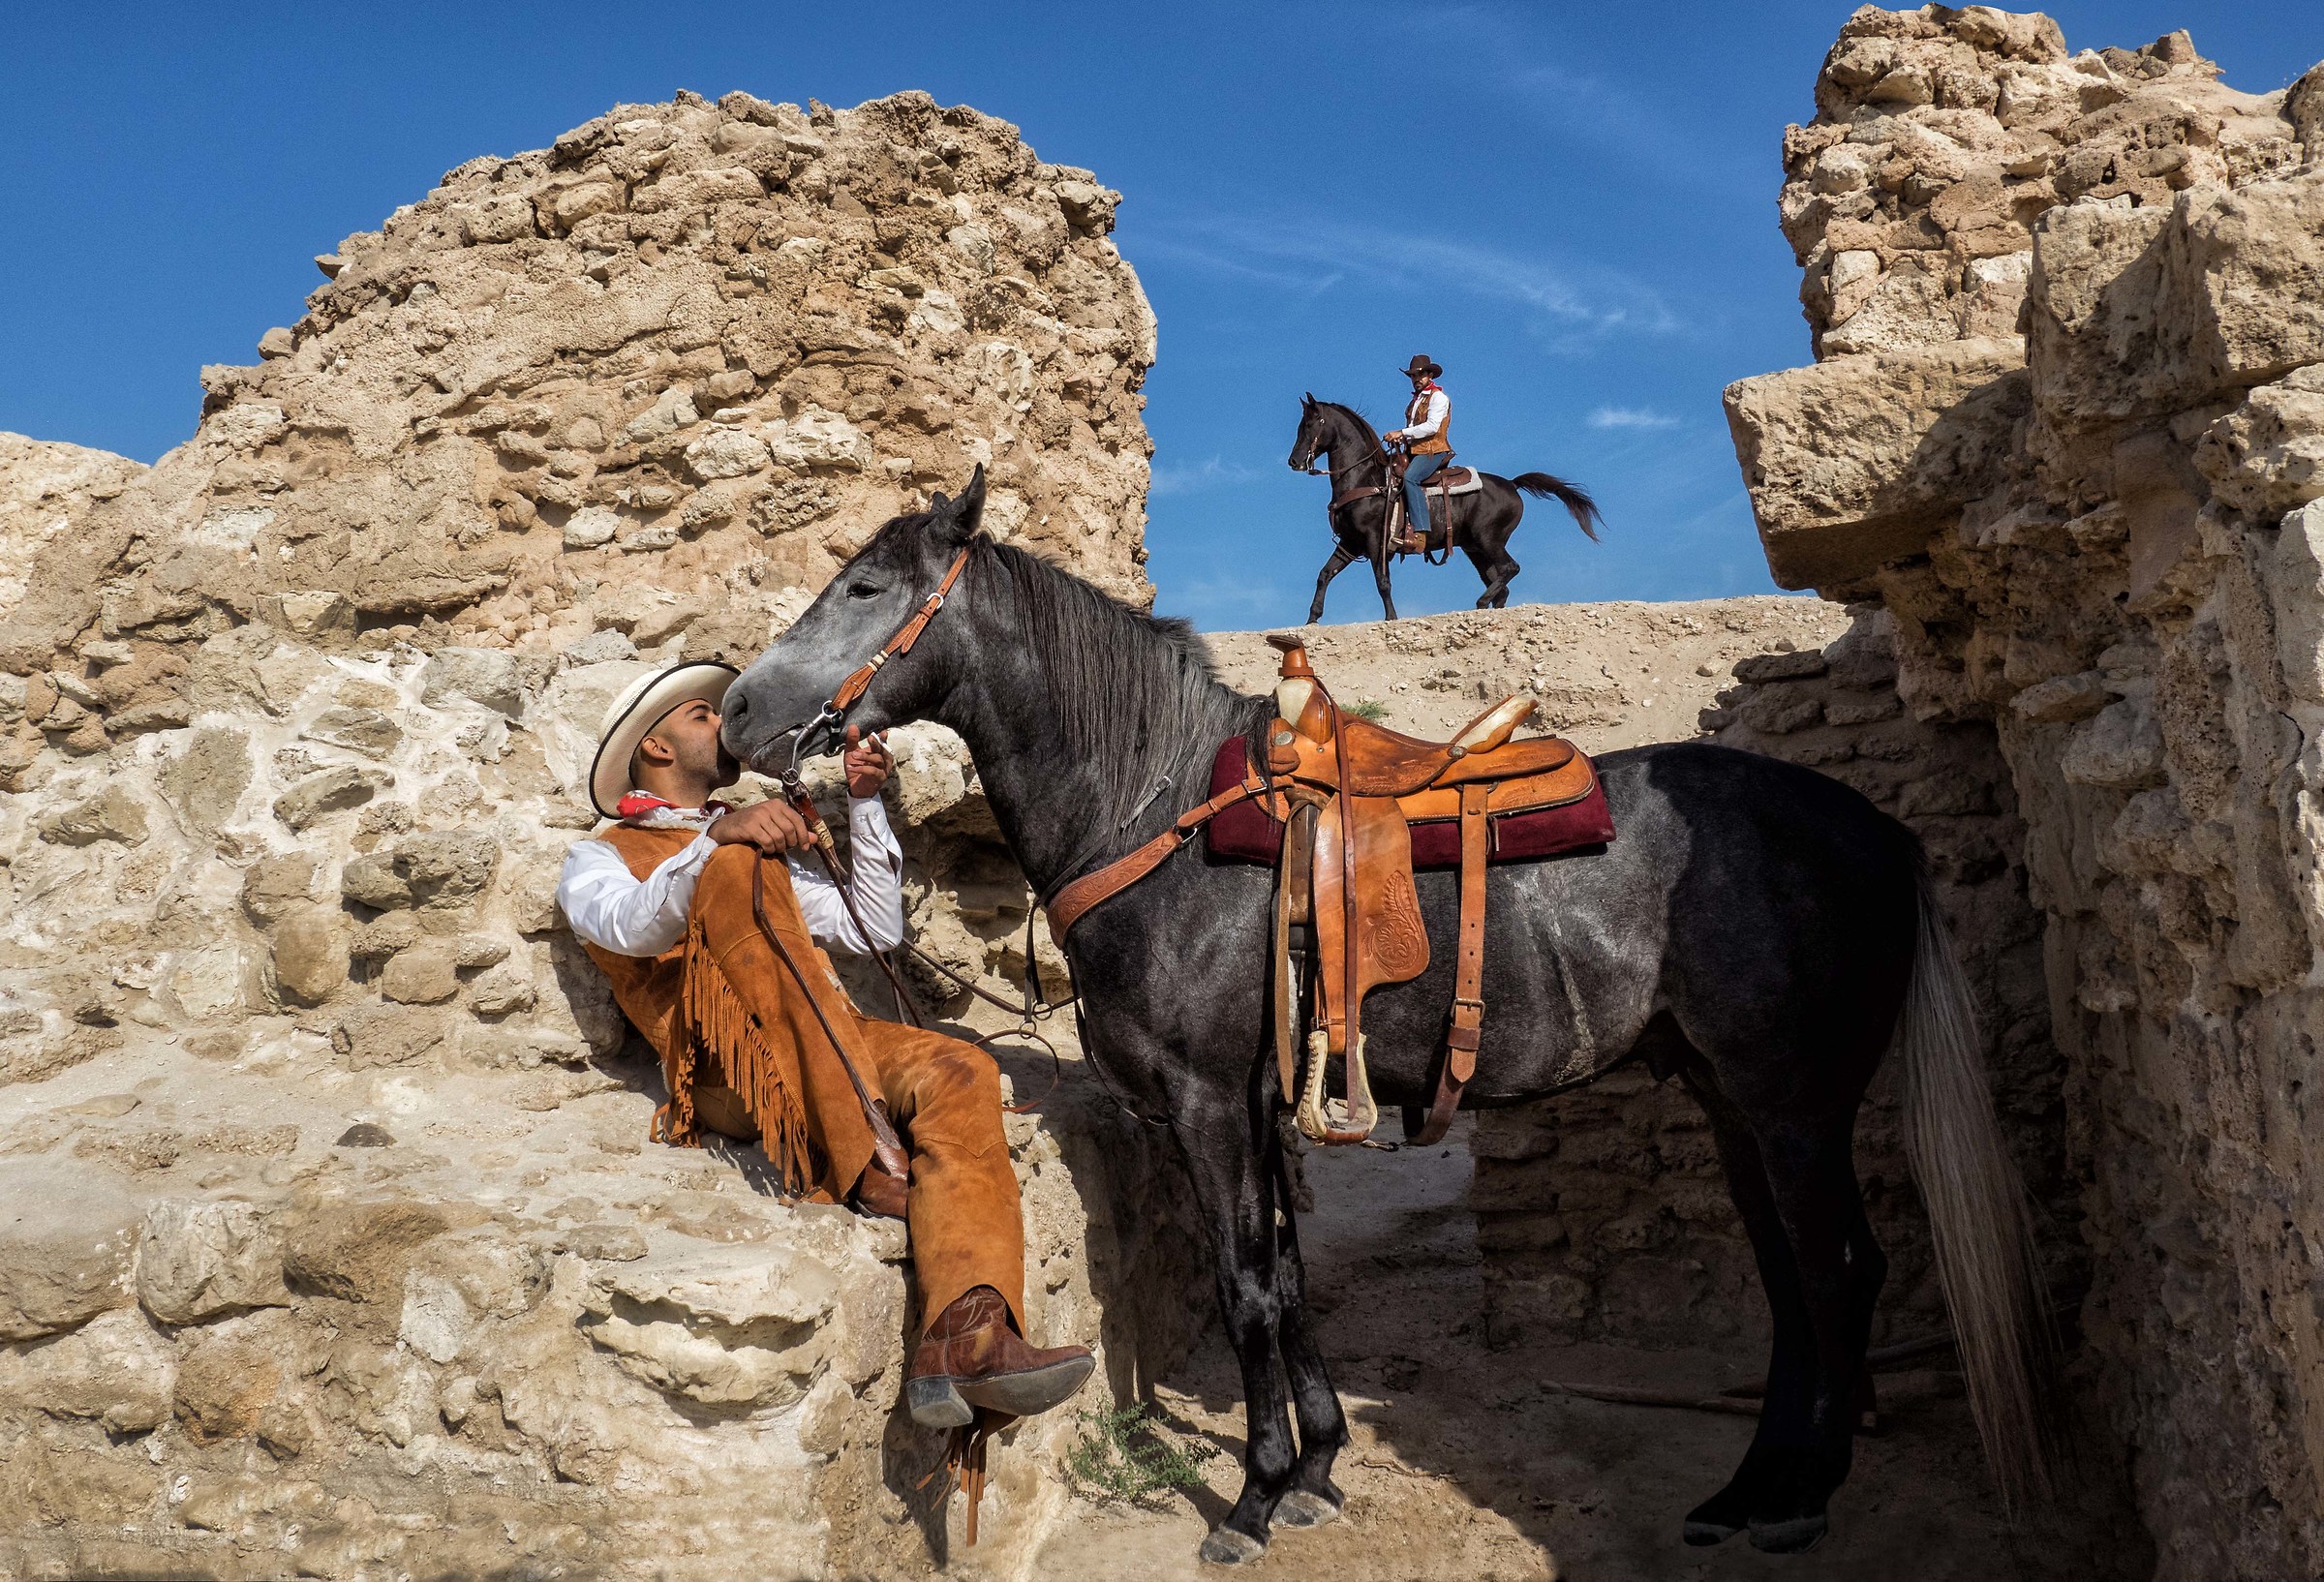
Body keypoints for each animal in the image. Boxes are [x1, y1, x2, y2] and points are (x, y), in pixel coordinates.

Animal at [718, 471, 2048, 1565]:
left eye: (866, 586)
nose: (733, 716)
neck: (1157, 817)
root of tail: (1876, 832)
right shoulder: (1263, 1100)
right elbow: (1289, 1275)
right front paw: (1315, 1465)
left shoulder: (1208, 1099)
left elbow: (1245, 1287)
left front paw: (1254, 1495)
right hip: (1735, 1103)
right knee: (1788, 1281)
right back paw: (1747, 1486)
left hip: (1795, 1106)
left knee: (1839, 1272)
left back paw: (1800, 1496)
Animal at [1288, 395, 1602, 623]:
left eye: (1311, 425)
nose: (1294, 461)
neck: (1366, 479)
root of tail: (1512, 485)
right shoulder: (1350, 543)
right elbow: (1324, 574)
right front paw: (1312, 620)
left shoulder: (1375, 540)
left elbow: (1382, 581)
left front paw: (1391, 617)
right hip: (1476, 549)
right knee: (1501, 584)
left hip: (1489, 540)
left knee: (1510, 568)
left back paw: (1480, 602)